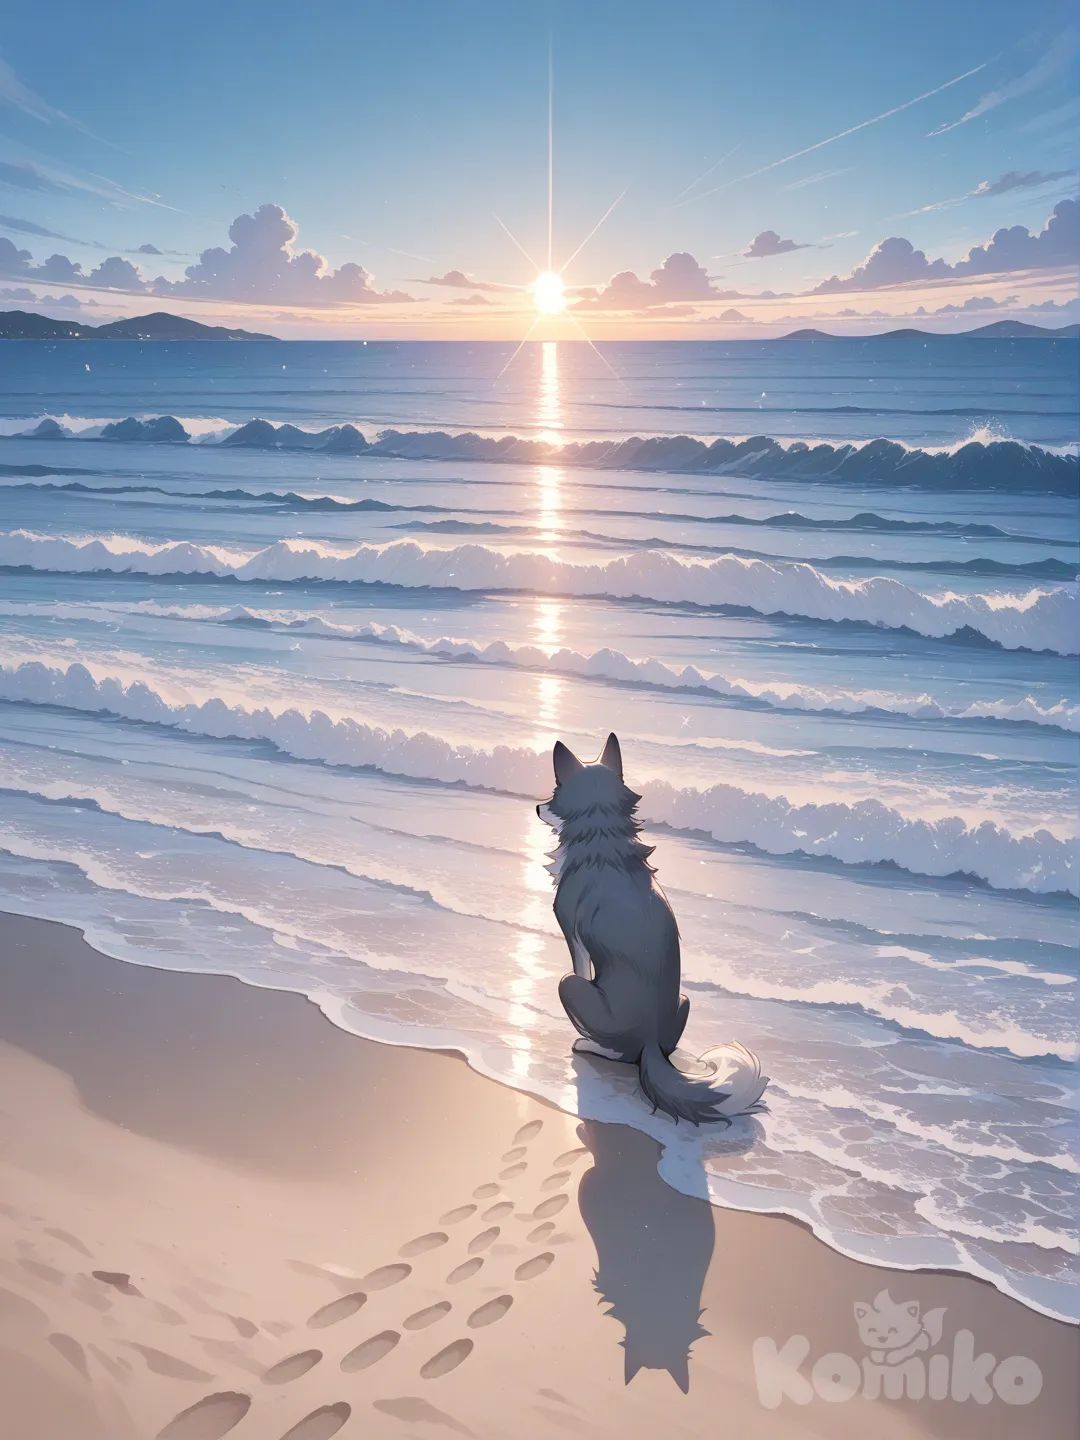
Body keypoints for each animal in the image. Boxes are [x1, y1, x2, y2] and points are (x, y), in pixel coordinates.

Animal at [537, 732, 768, 1124]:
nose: (536, 808)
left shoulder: (571, 932)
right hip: (684, 999)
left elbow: (580, 964)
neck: (602, 842)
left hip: (568, 987)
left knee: (618, 1050)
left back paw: (589, 1044)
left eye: (553, 792)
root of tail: (649, 1042)